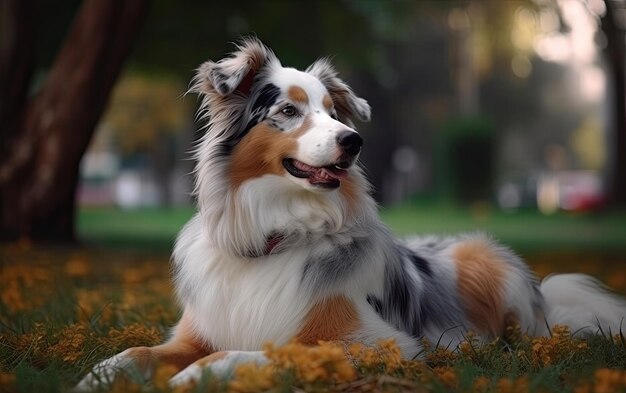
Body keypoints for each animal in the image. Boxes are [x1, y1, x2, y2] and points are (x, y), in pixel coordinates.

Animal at [77, 36, 624, 388]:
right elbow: (135, 352)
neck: (275, 232)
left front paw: (194, 377)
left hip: (484, 262)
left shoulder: (374, 342)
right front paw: (96, 376)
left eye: (334, 112)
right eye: (289, 110)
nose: (353, 141)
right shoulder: (195, 331)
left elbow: (248, 352)